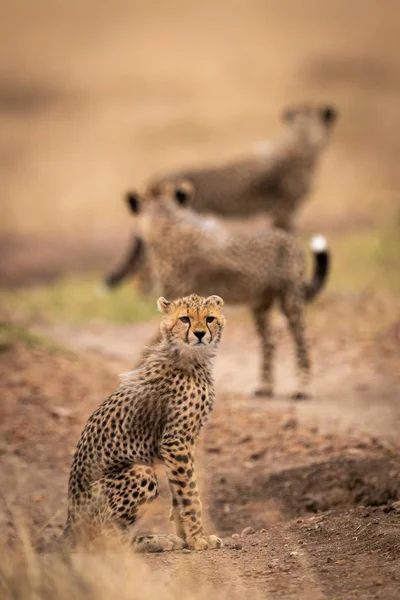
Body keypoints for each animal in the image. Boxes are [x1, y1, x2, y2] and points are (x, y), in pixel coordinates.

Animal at [65, 292, 225, 552]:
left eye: (210, 318)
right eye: (185, 319)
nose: (201, 334)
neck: (189, 357)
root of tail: (69, 526)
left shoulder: (177, 446)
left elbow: (179, 492)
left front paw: (186, 536)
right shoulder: (176, 441)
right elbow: (191, 494)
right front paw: (198, 538)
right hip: (140, 472)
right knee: (107, 542)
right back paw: (156, 540)